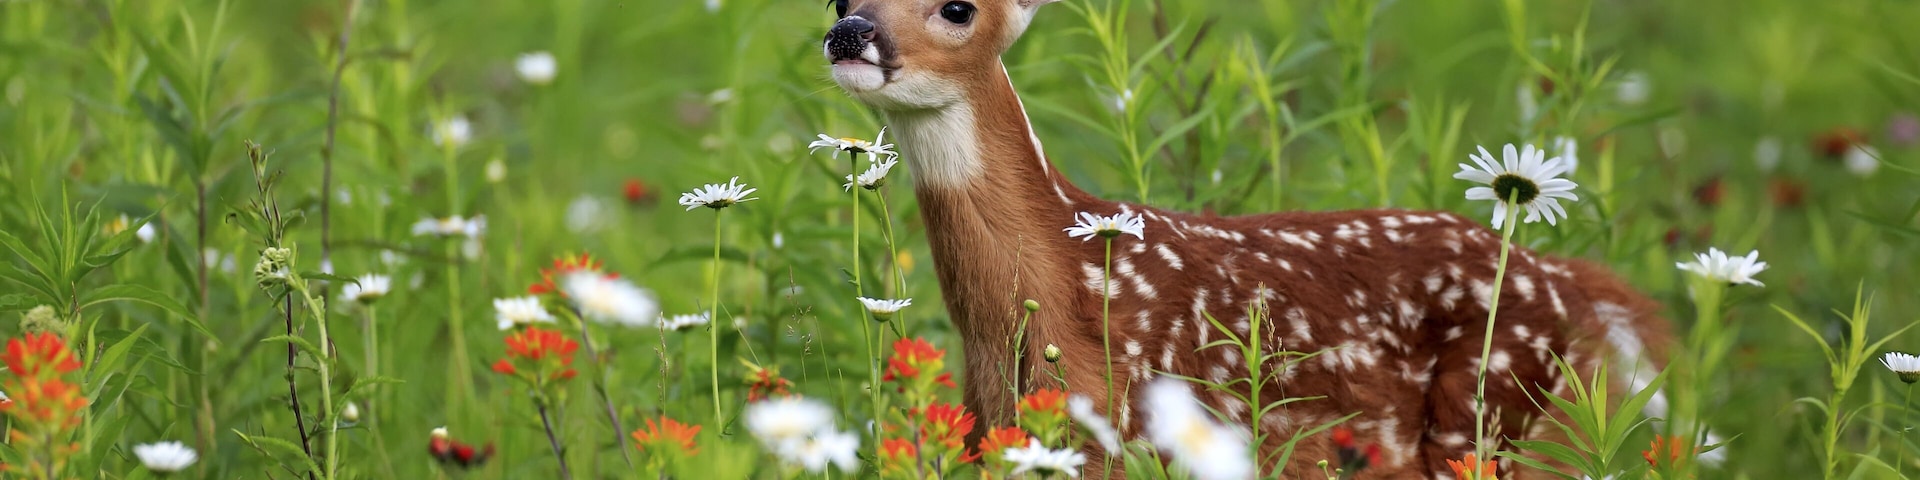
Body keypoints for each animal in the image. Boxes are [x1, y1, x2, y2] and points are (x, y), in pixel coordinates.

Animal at [819, 0, 1672, 477]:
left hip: (1486, 418)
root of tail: (1561, 279)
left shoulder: (1121, 432)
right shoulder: (995, 435)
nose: (849, 33)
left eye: (958, 7)